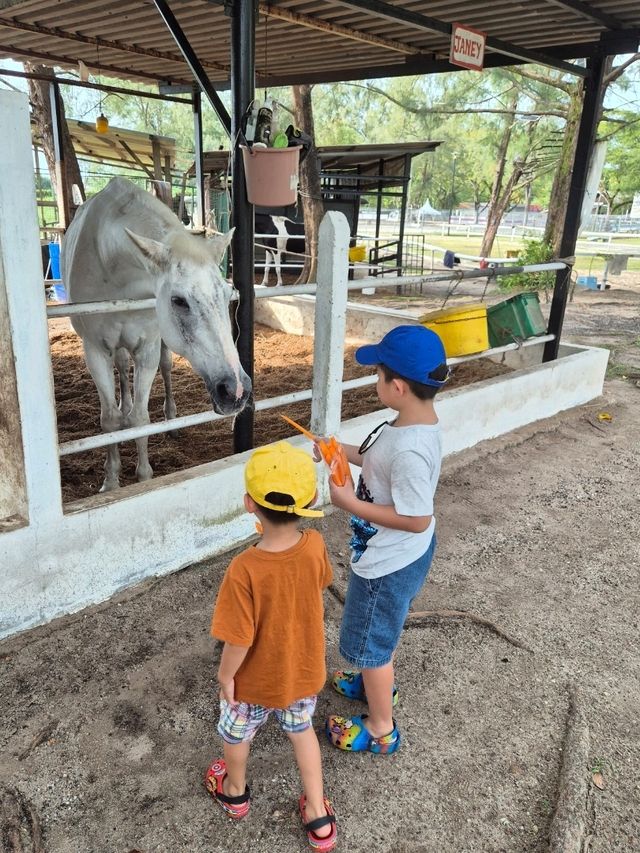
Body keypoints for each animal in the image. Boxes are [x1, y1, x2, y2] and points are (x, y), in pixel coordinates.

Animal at [60, 176, 250, 490]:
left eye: (226, 295)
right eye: (178, 300)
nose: (235, 391)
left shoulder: (147, 349)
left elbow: (140, 419)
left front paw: (143, 476)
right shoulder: (95, 351)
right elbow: (109, 421)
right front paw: (111, 481)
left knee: (165, 368)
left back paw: (171, 420)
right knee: (122, 369)